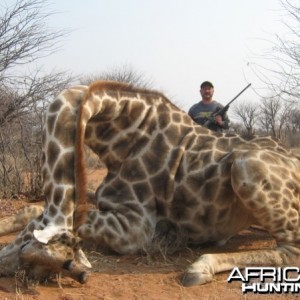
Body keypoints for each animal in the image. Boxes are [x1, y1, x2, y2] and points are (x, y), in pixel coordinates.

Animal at [0, 81, 300, 288]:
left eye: (64, 263)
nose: (7, 267)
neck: (120, 146)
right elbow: (33, 212)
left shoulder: (137, 230)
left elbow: (63, 220)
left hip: (245, 167)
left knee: (291, 252)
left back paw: (198, 268)